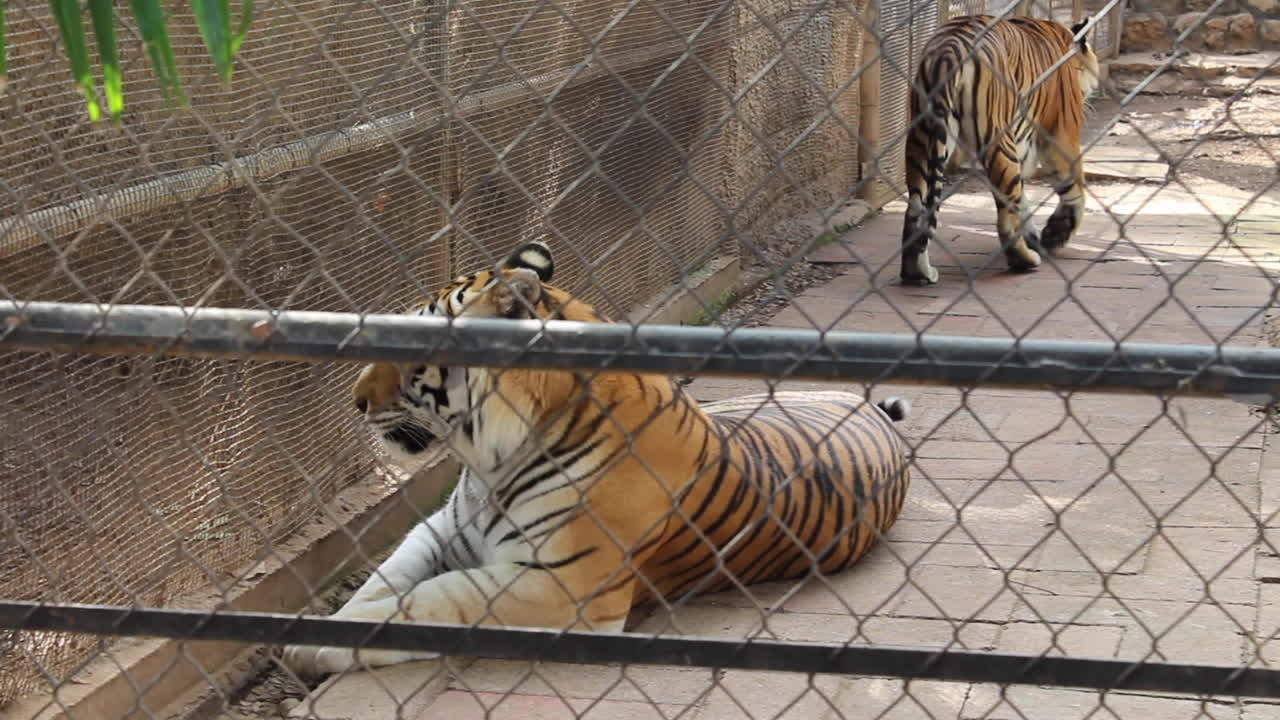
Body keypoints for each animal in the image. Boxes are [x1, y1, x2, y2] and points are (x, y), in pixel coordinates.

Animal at [282, 241, 914, 677]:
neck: (488, 464)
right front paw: (322, 628)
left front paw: (319, 644)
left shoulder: (564, 587)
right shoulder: (441, 529)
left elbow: (431, 601)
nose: (355, 399)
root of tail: (870, 409)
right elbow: (386, 579)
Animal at [899, 14, 1100, 285]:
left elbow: (1023, 199)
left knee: (915, 209)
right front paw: (1054, 235)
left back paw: (916, 273)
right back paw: (1025, 261)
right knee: (1005, 218)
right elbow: (1074, 187)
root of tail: (948, 49)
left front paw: (1038, 236)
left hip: (920, 140)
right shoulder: (1060, 134)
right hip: (999, 142)